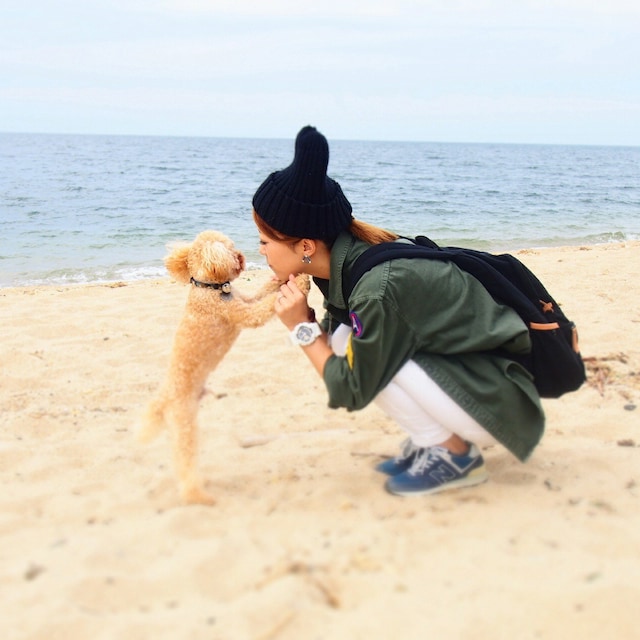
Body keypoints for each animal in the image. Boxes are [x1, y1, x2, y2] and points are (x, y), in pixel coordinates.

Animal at [138, 229, 309, 505]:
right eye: (229, 248)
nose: (241, 256)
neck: (211, 288)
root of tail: (164, 399)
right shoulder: (245, 314)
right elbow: (267, 305)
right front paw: (302, 281)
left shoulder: (245, 298)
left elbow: (263, 291)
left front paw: (278, 279)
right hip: (185, 426)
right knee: (185, 464)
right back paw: (198, 496)